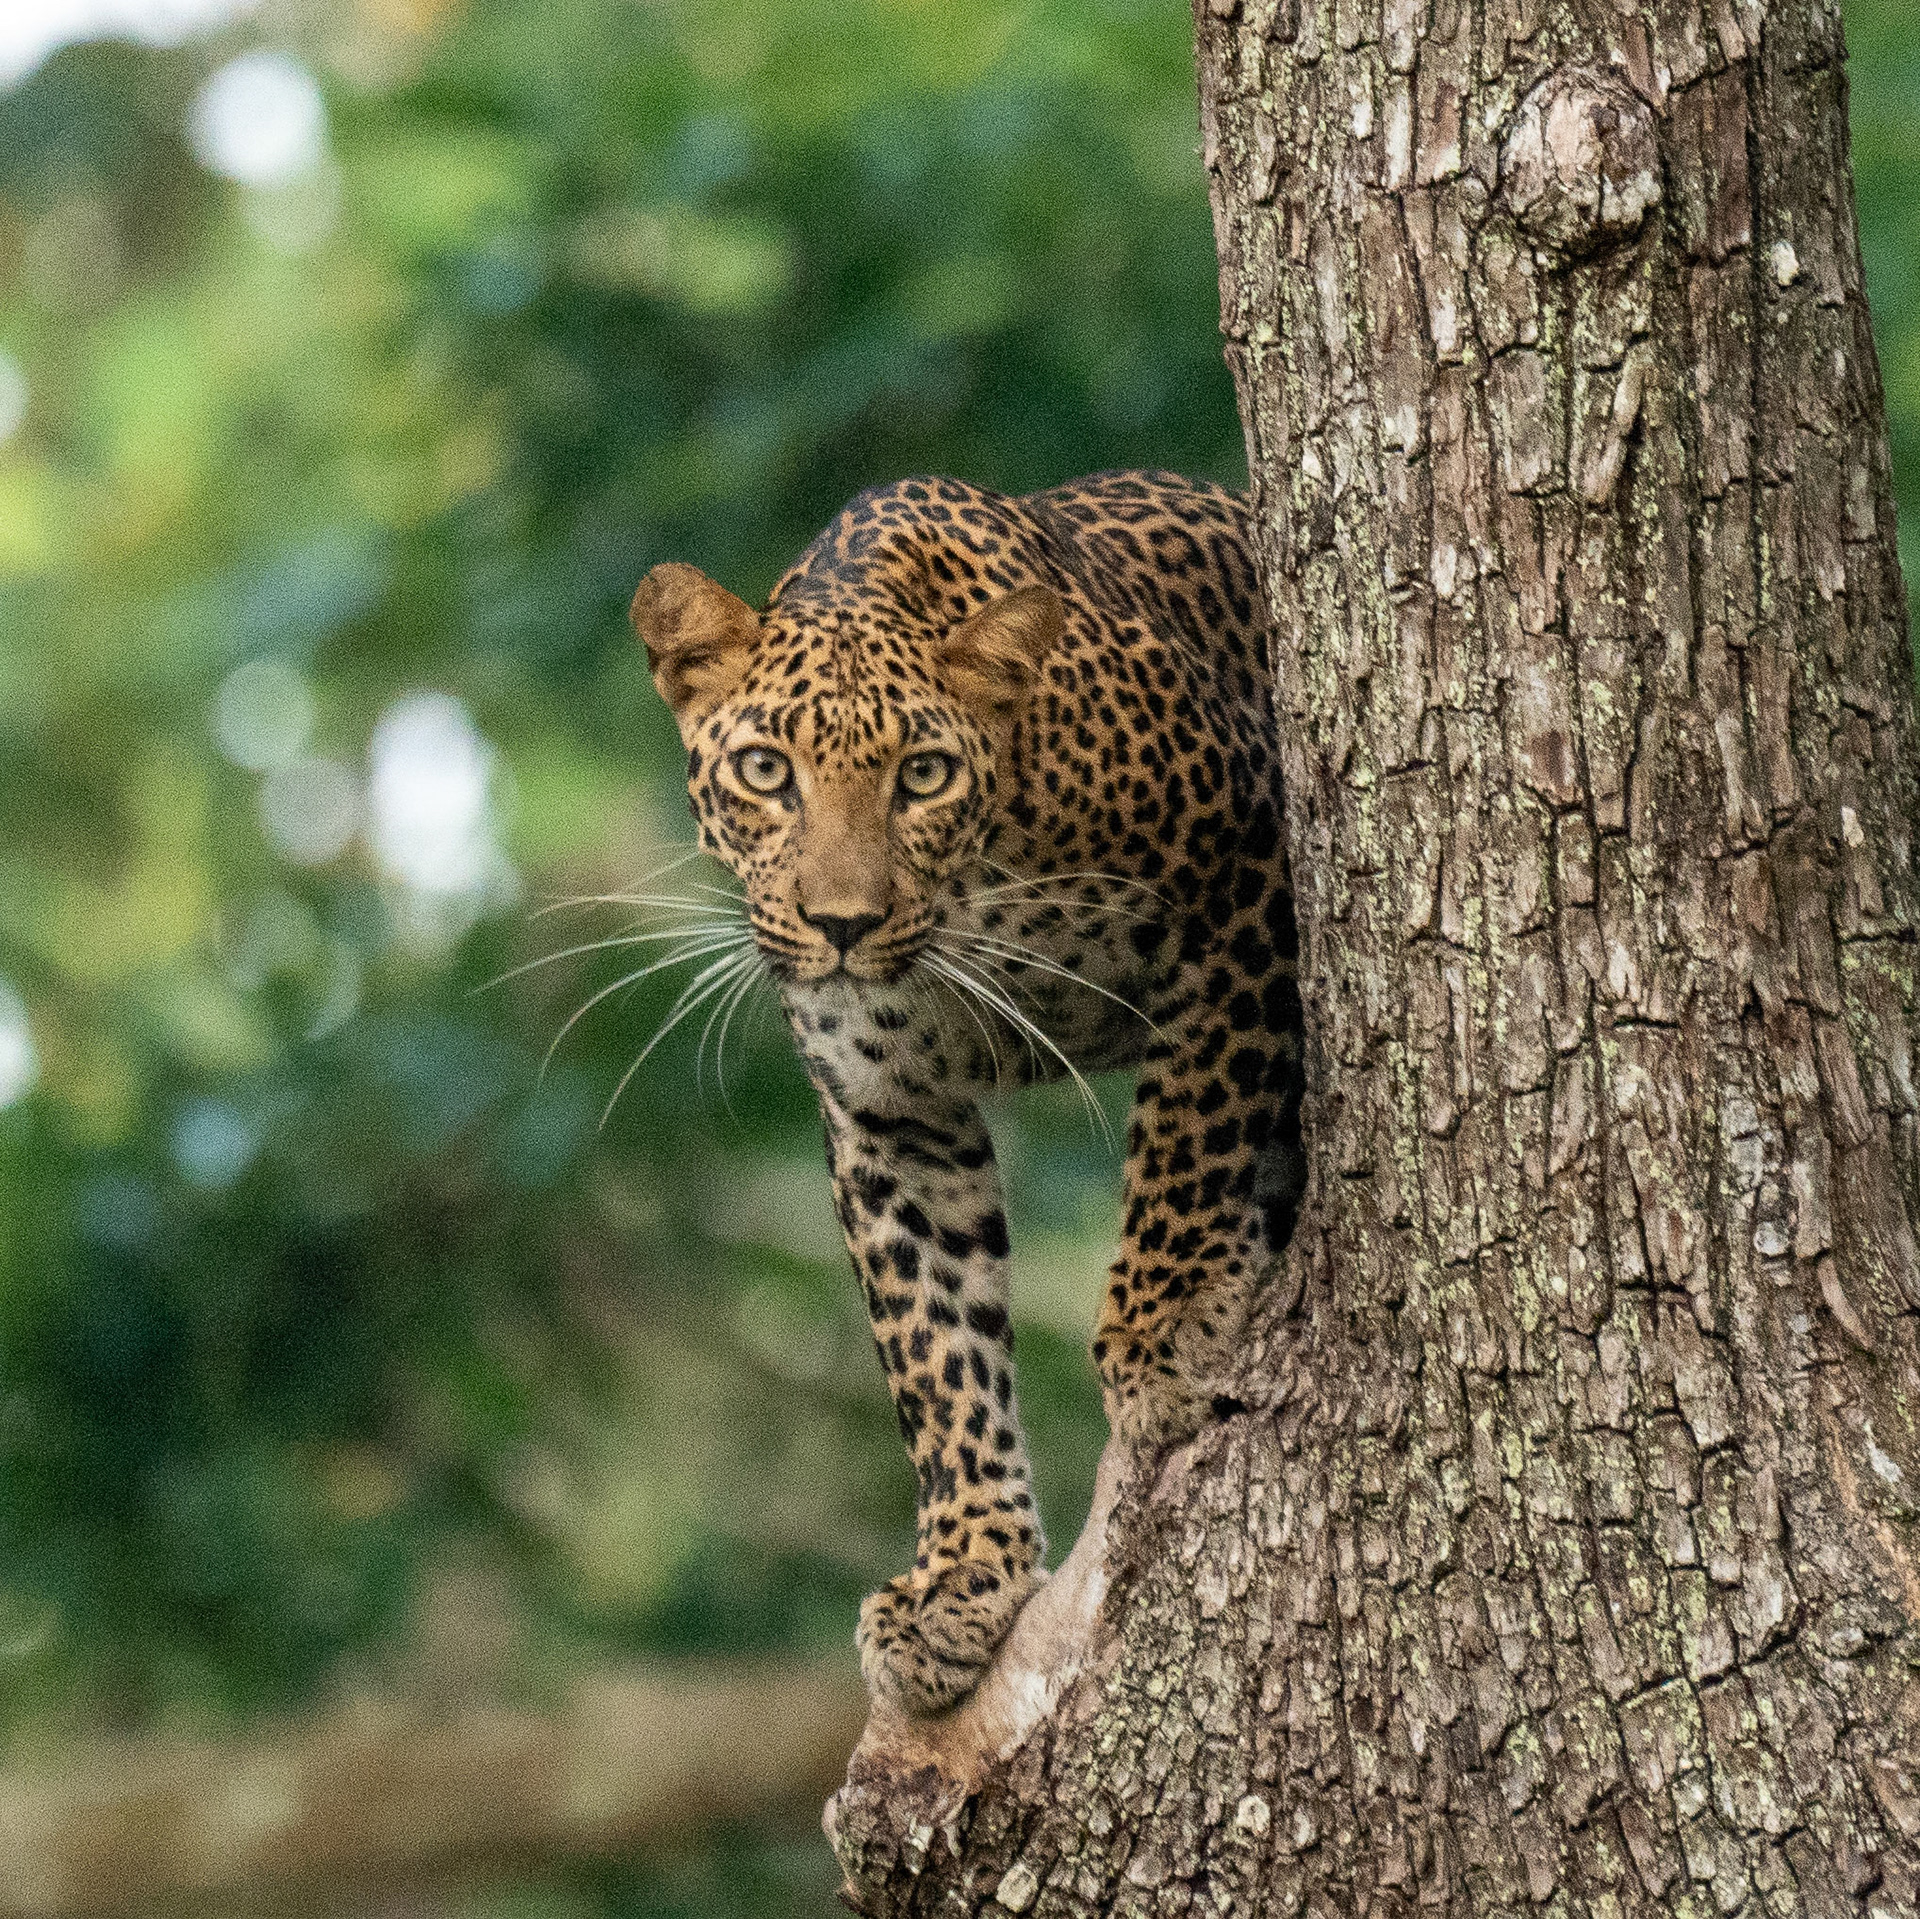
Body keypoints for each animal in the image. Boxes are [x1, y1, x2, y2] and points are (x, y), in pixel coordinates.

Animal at [631, 470, 1304, 1715]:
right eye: (765, 771)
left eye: (924, 775)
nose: (843, 923)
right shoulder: (892, 1115)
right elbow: (936, 1350)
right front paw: (960, 1577)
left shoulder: (1244, 872)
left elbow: (1187, 1125)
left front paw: (1164, 1331)